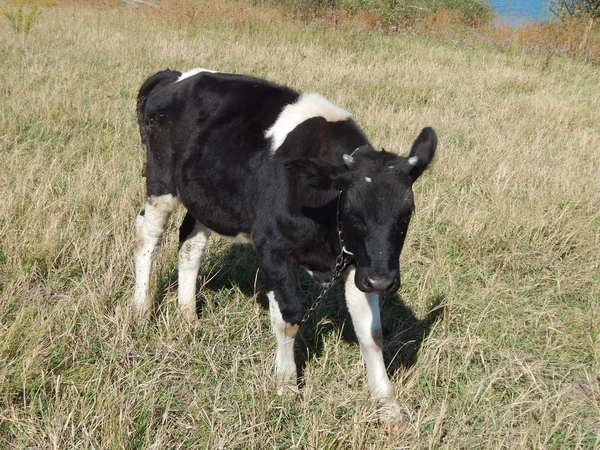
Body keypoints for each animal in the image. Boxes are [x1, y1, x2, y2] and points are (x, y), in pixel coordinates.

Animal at [135, 68, 436, 424]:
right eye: (352, 211)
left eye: (406, 214)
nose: (382, 281)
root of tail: (178, 75)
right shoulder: (272, 248)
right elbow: (288, 318)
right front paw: (287, 385)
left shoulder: (358, 263)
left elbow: (371, 333)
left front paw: (387, 404)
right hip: (162, 184)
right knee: (147, 236)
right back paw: (140, 311)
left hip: (206, 197)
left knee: (190, 245)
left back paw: (188, 316)